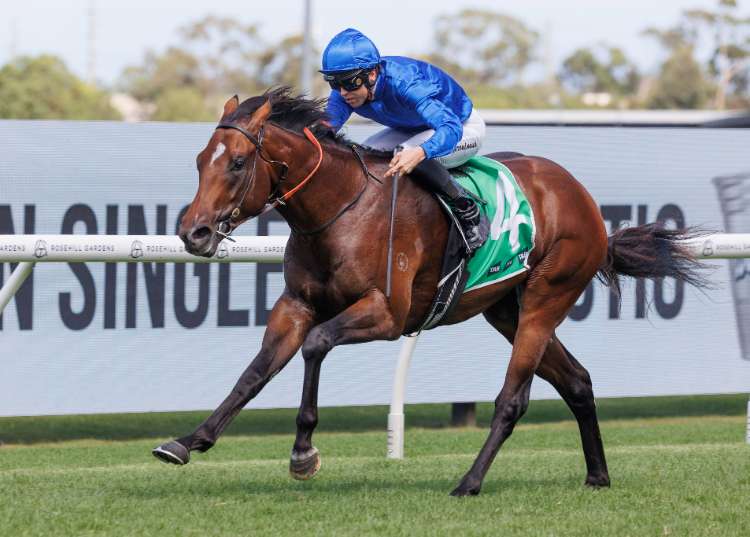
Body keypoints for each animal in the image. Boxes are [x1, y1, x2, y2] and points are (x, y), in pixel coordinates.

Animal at [153, 87, 708, 496]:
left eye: (238, 162)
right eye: (200, 159)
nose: (193, 233)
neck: (340, 209)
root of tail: (585, 202)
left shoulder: (387, 314)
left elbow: (316, 345)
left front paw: (303, 452)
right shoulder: (296, 304)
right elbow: (255, 372)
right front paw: (188, 441)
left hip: (546, 298)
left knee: (512, 399)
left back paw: (469, 482)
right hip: (506, 310)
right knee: (576, 381)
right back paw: (597, 475)